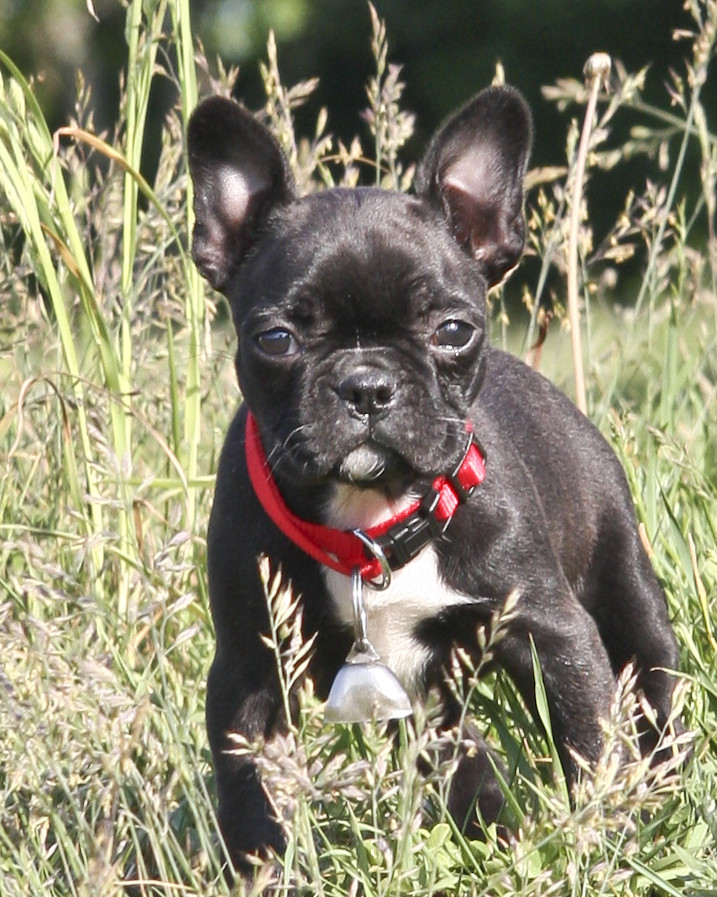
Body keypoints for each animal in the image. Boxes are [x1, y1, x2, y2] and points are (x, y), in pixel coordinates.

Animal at [185, 86, 676, 876]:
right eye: (275, 339)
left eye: (451, 330)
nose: (366, 385)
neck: (372, 523)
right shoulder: (251, 665)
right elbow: (246, 783)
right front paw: (259, 868)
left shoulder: (553, 631)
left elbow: (589, 742)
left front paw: (601, 842)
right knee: (457, 748)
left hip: (627, 591)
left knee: (652, 690)